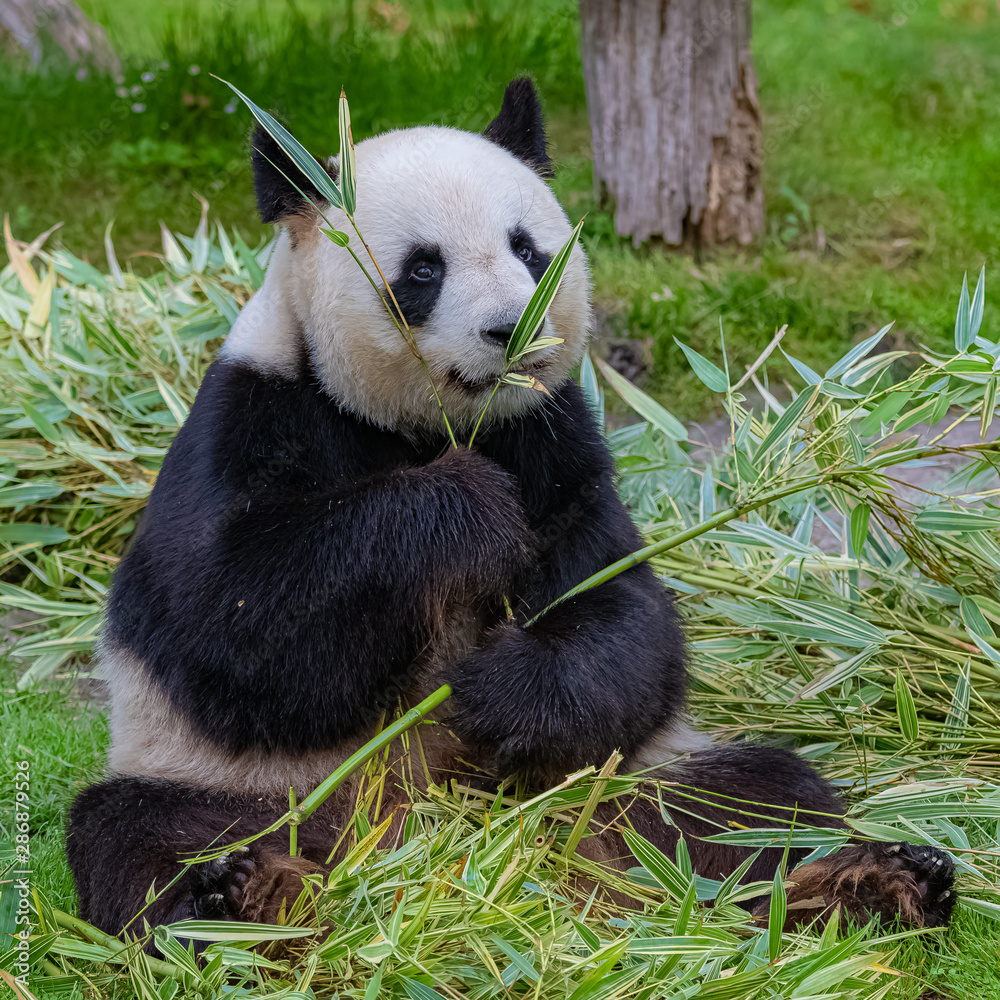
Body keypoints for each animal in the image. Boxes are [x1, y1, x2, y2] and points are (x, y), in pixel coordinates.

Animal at [67, 79, 955, 945]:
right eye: (423, 270)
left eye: (529, 249)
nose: (511, 330)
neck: (432, 428)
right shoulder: (256, 414)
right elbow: (231, 623)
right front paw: (465, 514)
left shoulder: (555, 443)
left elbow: (623, 618)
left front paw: (493, 688)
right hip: (258, 786)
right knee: (144, 834)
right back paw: (246, 896)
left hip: (621, 785)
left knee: (754, 801)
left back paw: (871, 884)